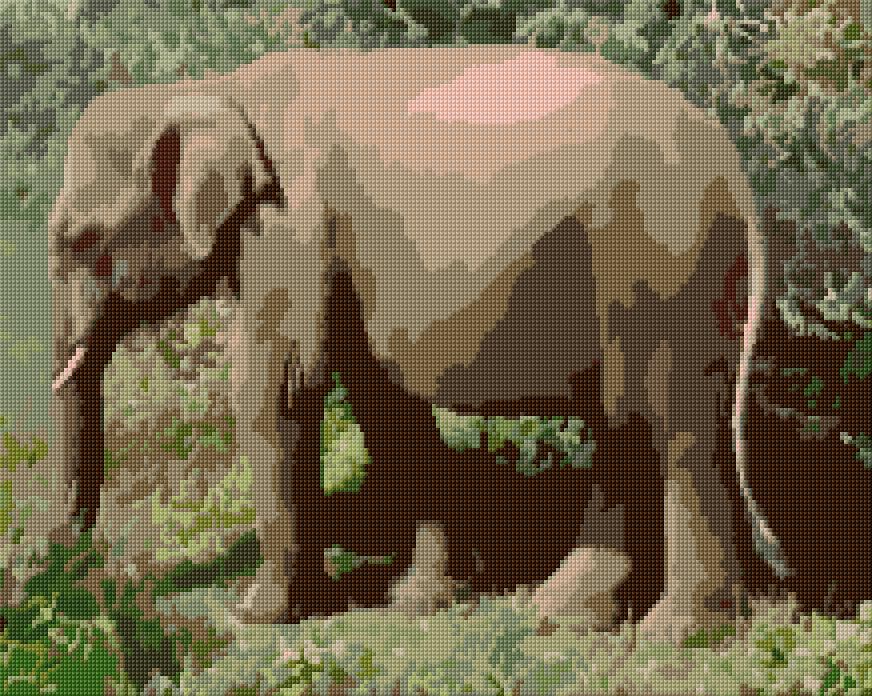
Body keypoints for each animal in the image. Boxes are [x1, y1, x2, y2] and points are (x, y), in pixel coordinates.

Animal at [48, 45, 792, 643]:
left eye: (78, 240)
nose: (71, 571)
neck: (213, 88)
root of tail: (738, 171)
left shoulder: (289, 228)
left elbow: (280, 385)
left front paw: (256, 617)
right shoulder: (343, 258)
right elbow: (382, 397)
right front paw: (418, 604)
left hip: (666, 271)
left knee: (674, 428)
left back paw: (675, 637)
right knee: (625, 427)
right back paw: (562, 617)